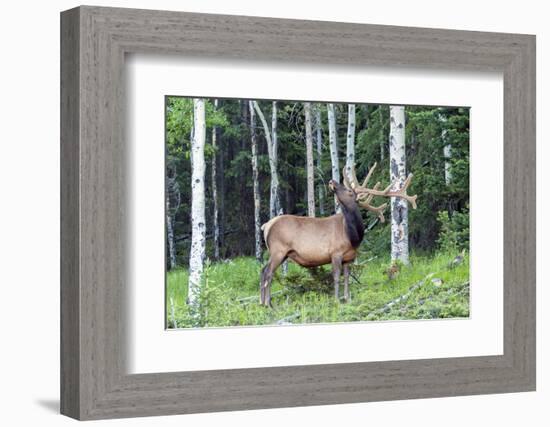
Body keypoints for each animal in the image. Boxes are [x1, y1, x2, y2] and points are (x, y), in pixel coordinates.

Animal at [258, 164, 418, 308]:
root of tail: (266, 226)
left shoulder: (349, 257)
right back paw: (268, 304)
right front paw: (336, 299)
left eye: (348, 190)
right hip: (278, 250)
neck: (353, 236)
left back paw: (262, 302)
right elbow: (336, 276)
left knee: (263, 270)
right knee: (268, 272)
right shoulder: (335, 253)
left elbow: (346, 277)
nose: (332, 181)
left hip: (282, 253)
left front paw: (347, 298)